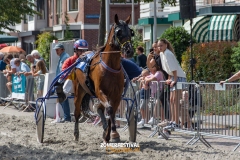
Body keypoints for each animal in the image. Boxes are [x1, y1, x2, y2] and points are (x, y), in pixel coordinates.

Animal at [72, 14, 134, 142]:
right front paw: (112, 132)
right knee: (77, 112)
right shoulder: (100, 91)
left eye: (131, 32)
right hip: (79, 90)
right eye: (119, 32)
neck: (111, 66)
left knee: (100, 109)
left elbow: (112, 111)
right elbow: (109, 109)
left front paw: (109, 134)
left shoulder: (116, 95)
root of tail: (81, 56)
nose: (129, 50)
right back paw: (76, 134)